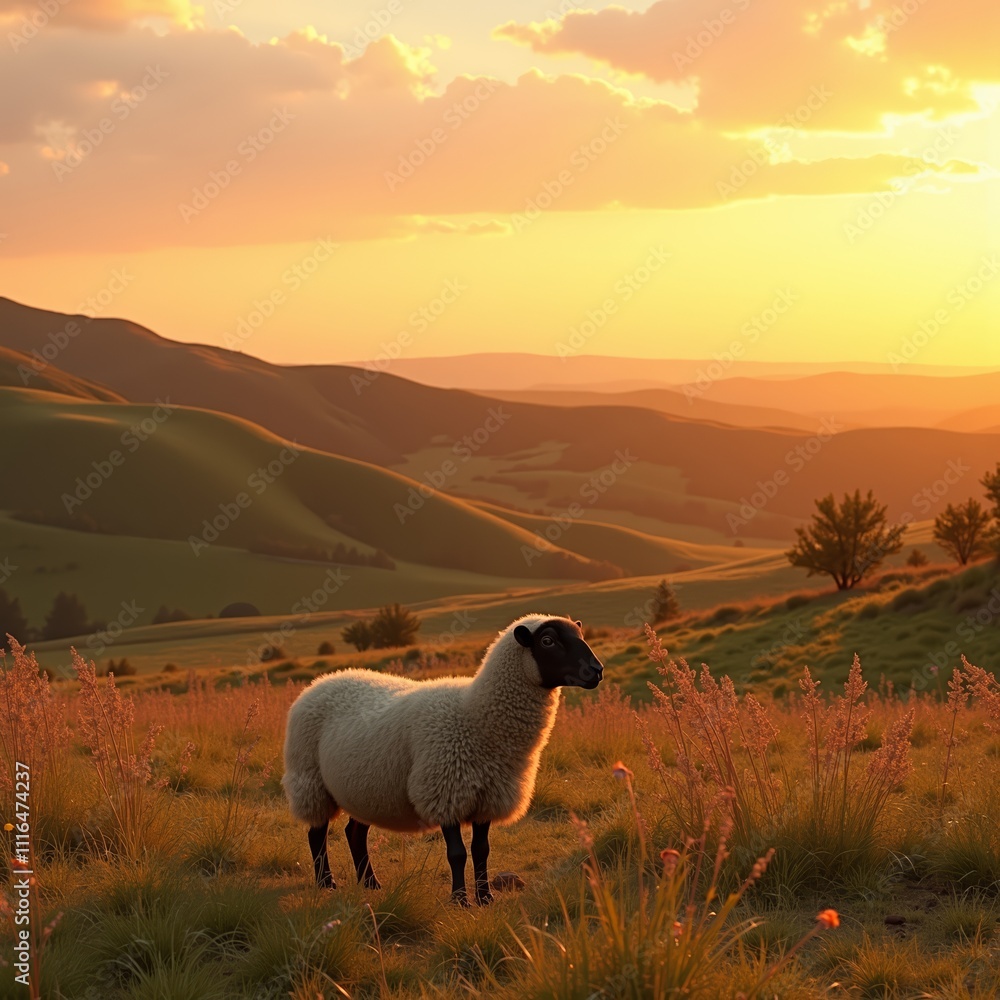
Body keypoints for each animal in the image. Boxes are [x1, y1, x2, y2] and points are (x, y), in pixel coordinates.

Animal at [282, 613, 604, 904]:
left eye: (581, 635)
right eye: (548, 641)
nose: (597, 670)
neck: (475, 716)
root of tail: (322, 680)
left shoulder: (488, 796)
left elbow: (482, 850)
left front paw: (485, 898)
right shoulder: (446, 791)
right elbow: (457, 853)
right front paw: (460, 899)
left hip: (365, 789)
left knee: (355, 833)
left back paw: (370, 883)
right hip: (310, 780)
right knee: (317, 833)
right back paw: (326, 883)